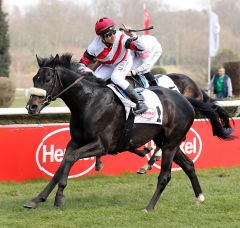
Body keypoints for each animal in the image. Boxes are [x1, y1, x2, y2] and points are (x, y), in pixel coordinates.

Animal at [23, 54, 231, 211]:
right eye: (34, 79)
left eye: (47, 79)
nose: (31, 107)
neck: (89, 101)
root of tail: (186, 99)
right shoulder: (75, 141)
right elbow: (62, 164)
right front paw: (37, 198)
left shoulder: (102, 145)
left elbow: (71, 159)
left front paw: (59, 196)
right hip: (166, 141)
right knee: (188, 165)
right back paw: (199, 197)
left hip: (171, 143)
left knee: (165, 175)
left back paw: (149, 205)